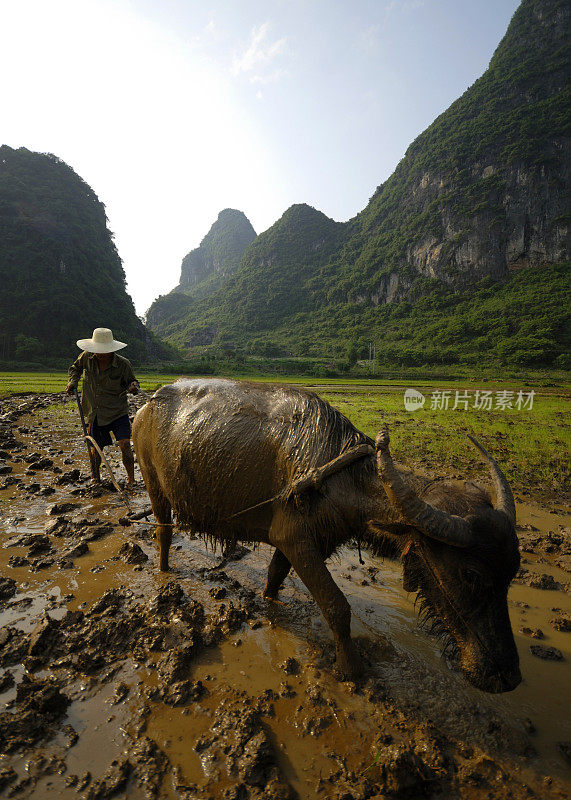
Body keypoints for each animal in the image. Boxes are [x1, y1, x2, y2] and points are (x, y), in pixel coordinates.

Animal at [131, 378, 524, 692]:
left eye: (512, 573)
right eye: (470, 574)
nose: (508, 677)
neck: (340, 475)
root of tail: (147, 405)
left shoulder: (306, 541)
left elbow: (275, 574)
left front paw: (271, 603)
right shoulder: (296, 539)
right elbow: (337, 606)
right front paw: (352, 669)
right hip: (153, 485)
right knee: (163, 532)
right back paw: (164, 573)